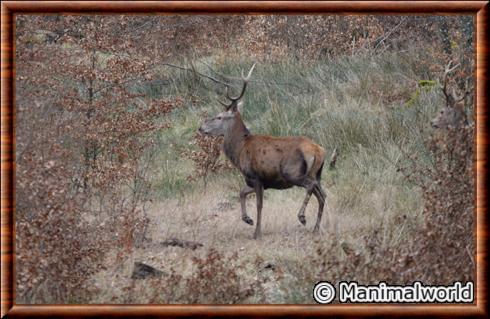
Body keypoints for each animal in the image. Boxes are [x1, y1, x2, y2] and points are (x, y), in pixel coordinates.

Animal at [197, 64, 334, 240]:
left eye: (219, 117)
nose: (201, 127)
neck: (240, 150)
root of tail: (319, 151)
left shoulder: (256, 176)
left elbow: (259, 204)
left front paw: (256, 232)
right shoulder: (259, 181)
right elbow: (241, 192)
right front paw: (247, 219)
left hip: (293, 172)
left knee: (311, 187)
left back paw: (302, 217)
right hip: (317, 174)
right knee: (322, 195)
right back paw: (316, 228)